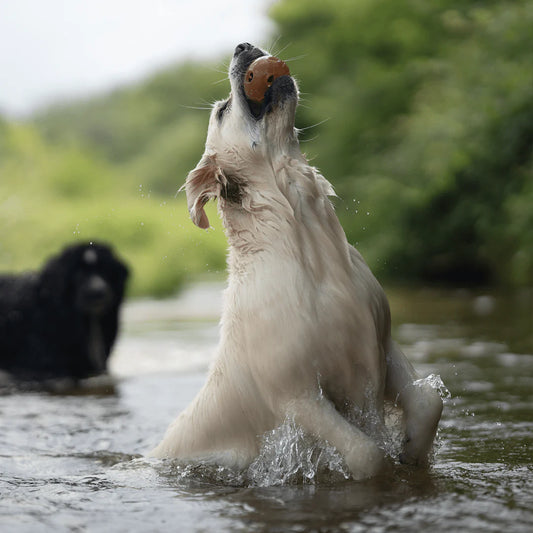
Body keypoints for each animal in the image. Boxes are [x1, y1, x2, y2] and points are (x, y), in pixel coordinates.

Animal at [150, 43, 440, 480]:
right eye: (222, 111)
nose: (243, 46)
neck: (307, 244)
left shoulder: (383, 340)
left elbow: (427, 401)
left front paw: (411, 451)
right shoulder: (296, 394)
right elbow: (366, 454)